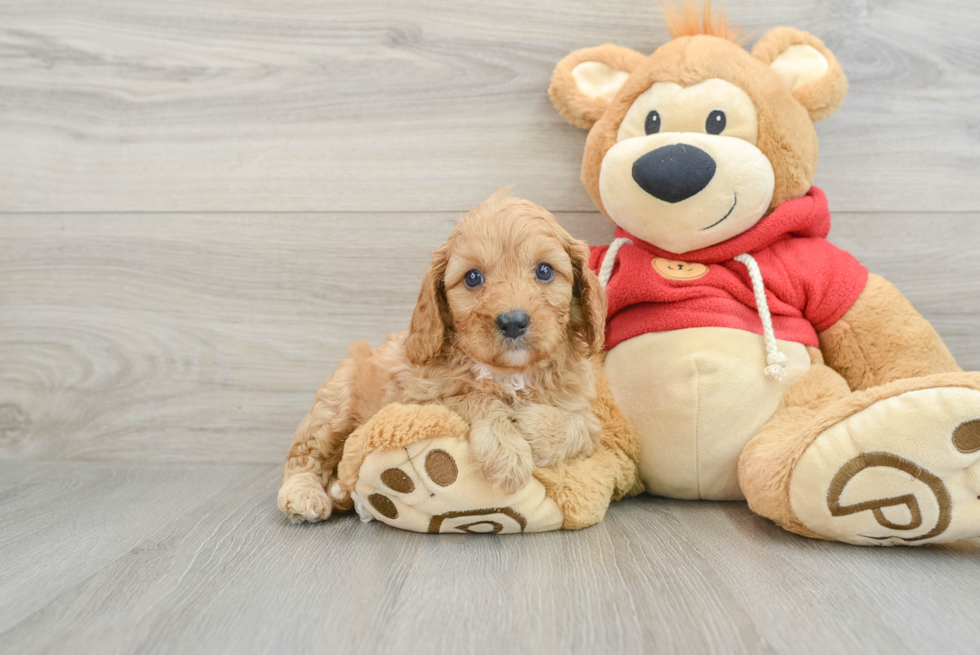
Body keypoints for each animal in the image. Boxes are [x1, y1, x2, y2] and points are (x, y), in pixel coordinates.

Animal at [276, 188, 608, 524]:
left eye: (544, 270)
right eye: (472, 277)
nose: (513, 321)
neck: (509, 374)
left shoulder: (584, 411)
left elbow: (581, 426)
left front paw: (531, 427)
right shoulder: (416, 401)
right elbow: (472, 398)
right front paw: (506, 448)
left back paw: (341, 492)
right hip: (336, 402)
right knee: (304, 456)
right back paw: (306, 495)